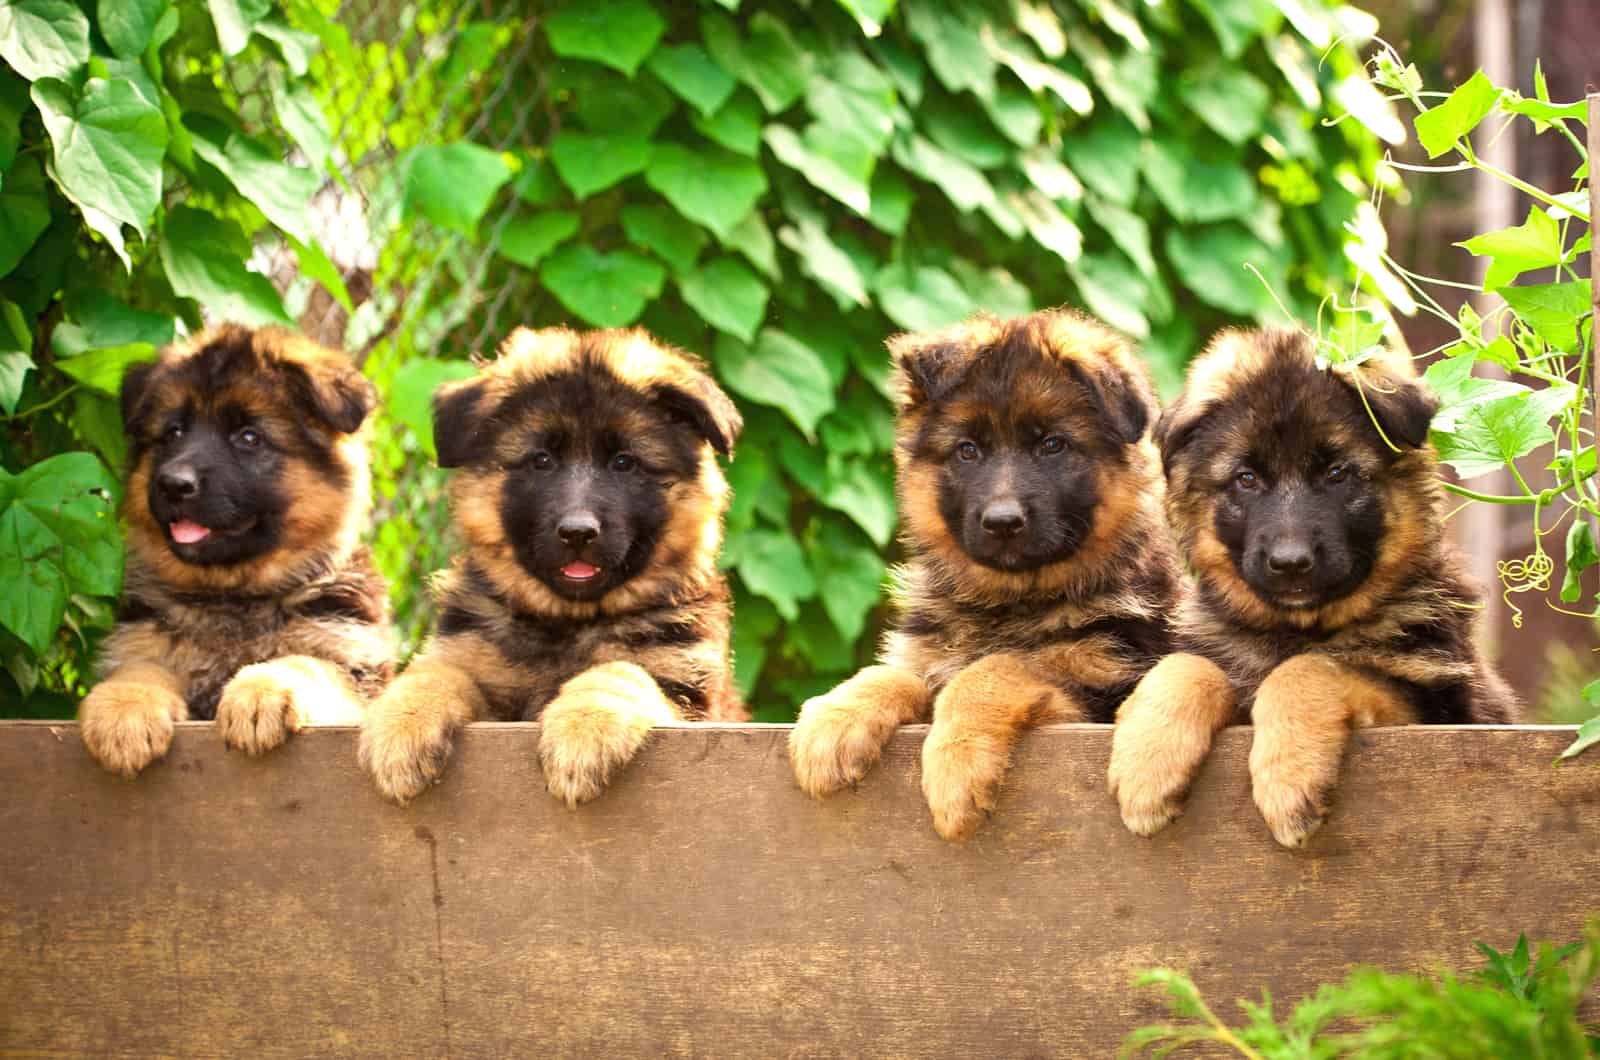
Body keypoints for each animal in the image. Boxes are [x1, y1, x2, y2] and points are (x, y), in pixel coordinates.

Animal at [787, 312, 1177, 845]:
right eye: (967, 450)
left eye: (1052, 445)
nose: (1002, 522)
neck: (1008, 600)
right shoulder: (928, 656)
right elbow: (894, 673)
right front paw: (835, 716)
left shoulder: (1099, 690)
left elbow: (996, 668)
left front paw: (956, 767)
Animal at [1107, 328, 1516, 851]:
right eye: (1246, 479)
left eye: (1336, 474)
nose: (1290, 563)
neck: (1297, 629)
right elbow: (1186, 665)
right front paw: (1147, 764)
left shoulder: (1440, 712)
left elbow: (1313, 668)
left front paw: (1288, 779)